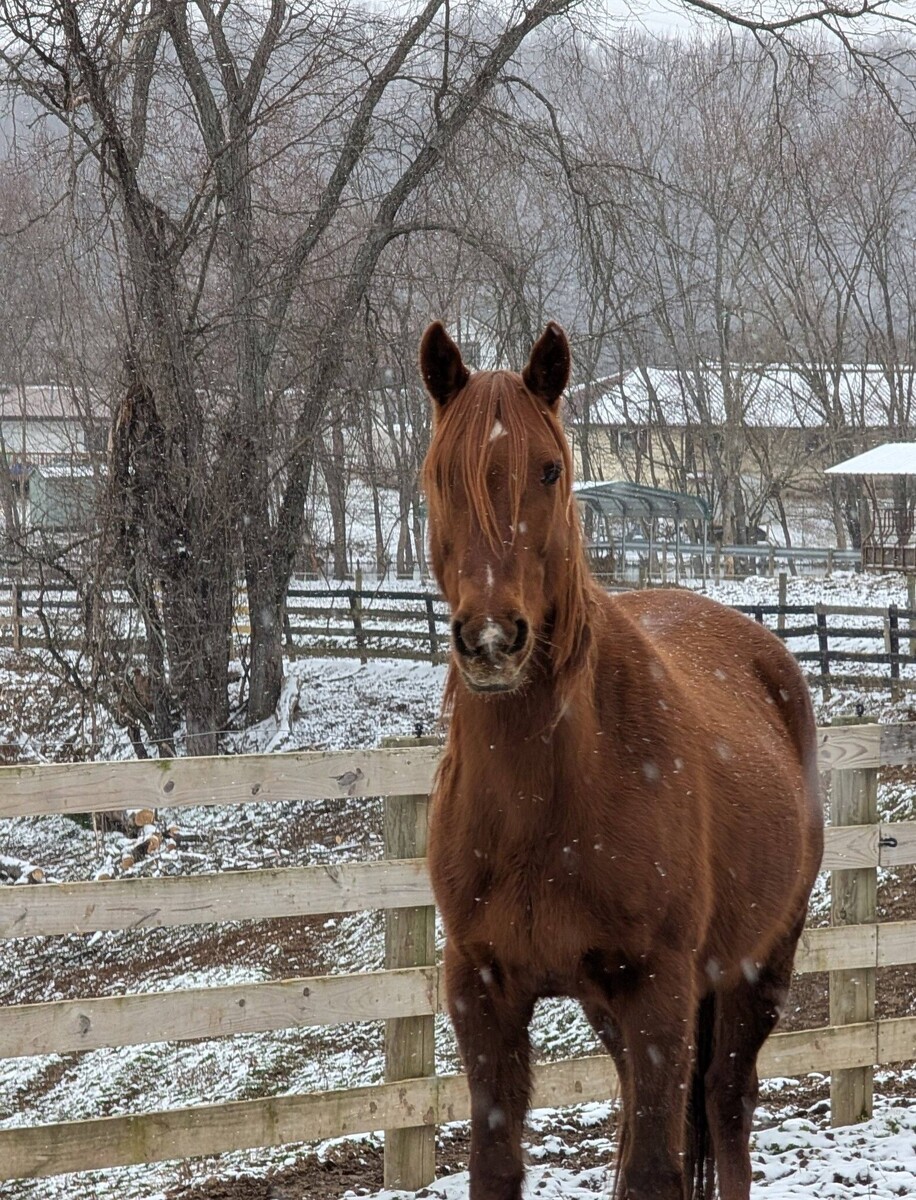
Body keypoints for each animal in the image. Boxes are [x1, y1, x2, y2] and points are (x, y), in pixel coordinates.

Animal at [419, 321, 824, 1200]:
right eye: (437, 474)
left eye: (550, 469)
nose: (492, 640)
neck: (544, 801)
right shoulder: (482, 990)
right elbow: (496, 1166)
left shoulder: (659, 988)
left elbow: (654, 1170)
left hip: (755, 969)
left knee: (727, 1108)